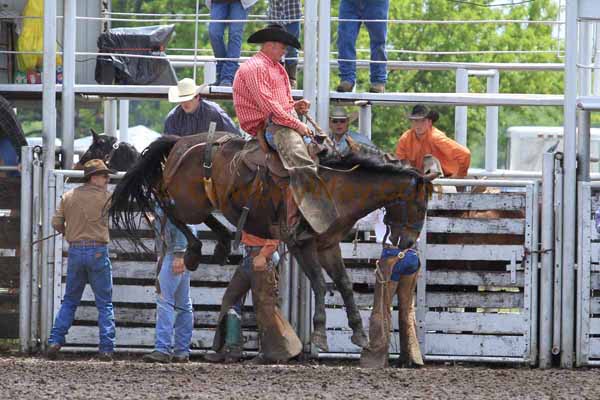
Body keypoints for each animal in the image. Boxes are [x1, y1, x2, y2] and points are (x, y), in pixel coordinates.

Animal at [108, 130, 434, 350]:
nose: (407, 242)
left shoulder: (327, 245)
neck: (336, 187)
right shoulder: (302, 243)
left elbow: (343, 283)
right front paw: (319, 335)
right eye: (420, 206)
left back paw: (223, 241)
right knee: (163, 199)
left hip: (201, 203)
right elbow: (320, 283)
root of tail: (180, 141)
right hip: (189, 202)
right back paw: (195, 250)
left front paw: (359, 333)